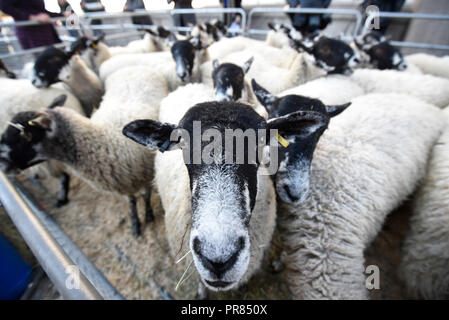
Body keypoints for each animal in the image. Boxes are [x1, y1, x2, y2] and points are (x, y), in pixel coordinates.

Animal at [0, 65, 168, 235]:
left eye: (24, 136)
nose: (2, 164)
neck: (104, 141)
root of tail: (133, 67)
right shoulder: (124, 183)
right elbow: (132, 201)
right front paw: (135, 224)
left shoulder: (145, 174)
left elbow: (146, 195)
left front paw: (148, 215)